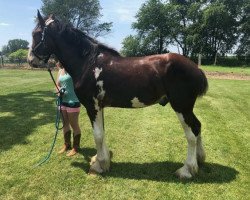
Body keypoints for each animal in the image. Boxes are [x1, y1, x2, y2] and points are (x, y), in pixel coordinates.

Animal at [27, 10, 208, 179]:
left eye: (36, 33)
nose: (30, 60)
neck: (88, 63)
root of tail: (196, 68)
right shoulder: (99, 107)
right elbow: (102, 133)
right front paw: (102, 160)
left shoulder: (92, 106)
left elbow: (98, 135)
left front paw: (99, 166)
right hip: (186, 108)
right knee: (198, 126)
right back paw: (199, 160)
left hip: (181, 107)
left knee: (191, 134)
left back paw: (187, 169)